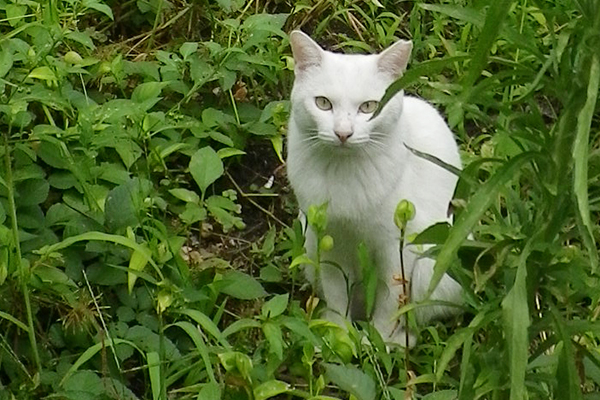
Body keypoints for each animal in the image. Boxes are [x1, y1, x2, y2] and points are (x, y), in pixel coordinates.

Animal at [288, 31, 464, 346]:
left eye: (369, 107)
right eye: (323, 103)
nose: (343, 133)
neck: (344, 173)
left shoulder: (397, 251)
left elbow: (390, 301)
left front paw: (378, 340)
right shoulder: (329, 243)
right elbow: (337, 294)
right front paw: (339, 336)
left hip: (433, 265)